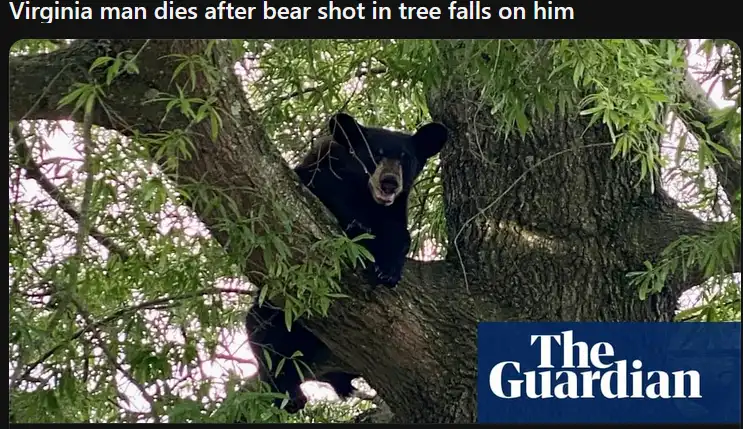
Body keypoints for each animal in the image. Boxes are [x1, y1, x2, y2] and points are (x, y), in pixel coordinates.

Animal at [245, 112, 448, 413]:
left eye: (406, 158)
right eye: (375, 154)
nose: (389, 182)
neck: (366, 197)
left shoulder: (394, 212)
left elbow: (400, 236)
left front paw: (388, 269)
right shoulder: (319, 174)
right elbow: (321, 193)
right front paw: (357, 228)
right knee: (263, 330)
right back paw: (290, 392)